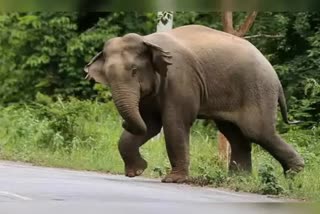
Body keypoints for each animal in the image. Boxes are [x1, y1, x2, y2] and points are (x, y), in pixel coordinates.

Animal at [84, 24, 304, 182]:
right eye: (107, 77)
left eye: (134, 71)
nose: (123, 123)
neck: (149, 41)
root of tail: (275, 76)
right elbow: (150, 125)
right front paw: (136, 172)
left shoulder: (180, 79)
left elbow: (174, 123)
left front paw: (173, 180)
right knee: (235, 134)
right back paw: (238, 180)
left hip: (257, 89)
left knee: (257, 131)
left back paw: (295, 174)